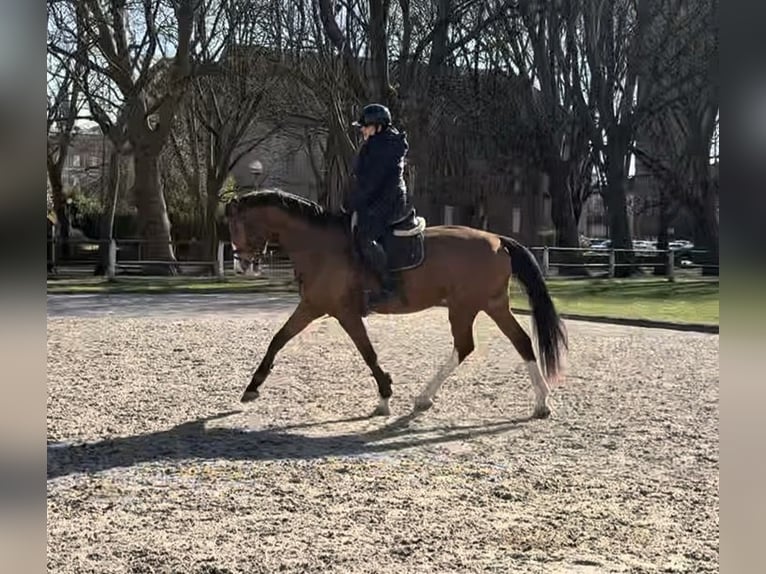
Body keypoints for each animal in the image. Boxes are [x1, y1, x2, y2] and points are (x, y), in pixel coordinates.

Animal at [224, 189, 567, 419]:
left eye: (238, 225)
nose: (241, 265)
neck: (319, 245)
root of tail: (498, 240)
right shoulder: (313, 306)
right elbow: (278, 338)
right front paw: (252, 386)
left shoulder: (337, 311)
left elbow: (366, 352)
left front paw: (385, 396)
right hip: (490, 305)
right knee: (518, 341)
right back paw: (541, 402)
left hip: (465, 306)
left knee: (467, 345)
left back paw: (425, 397)